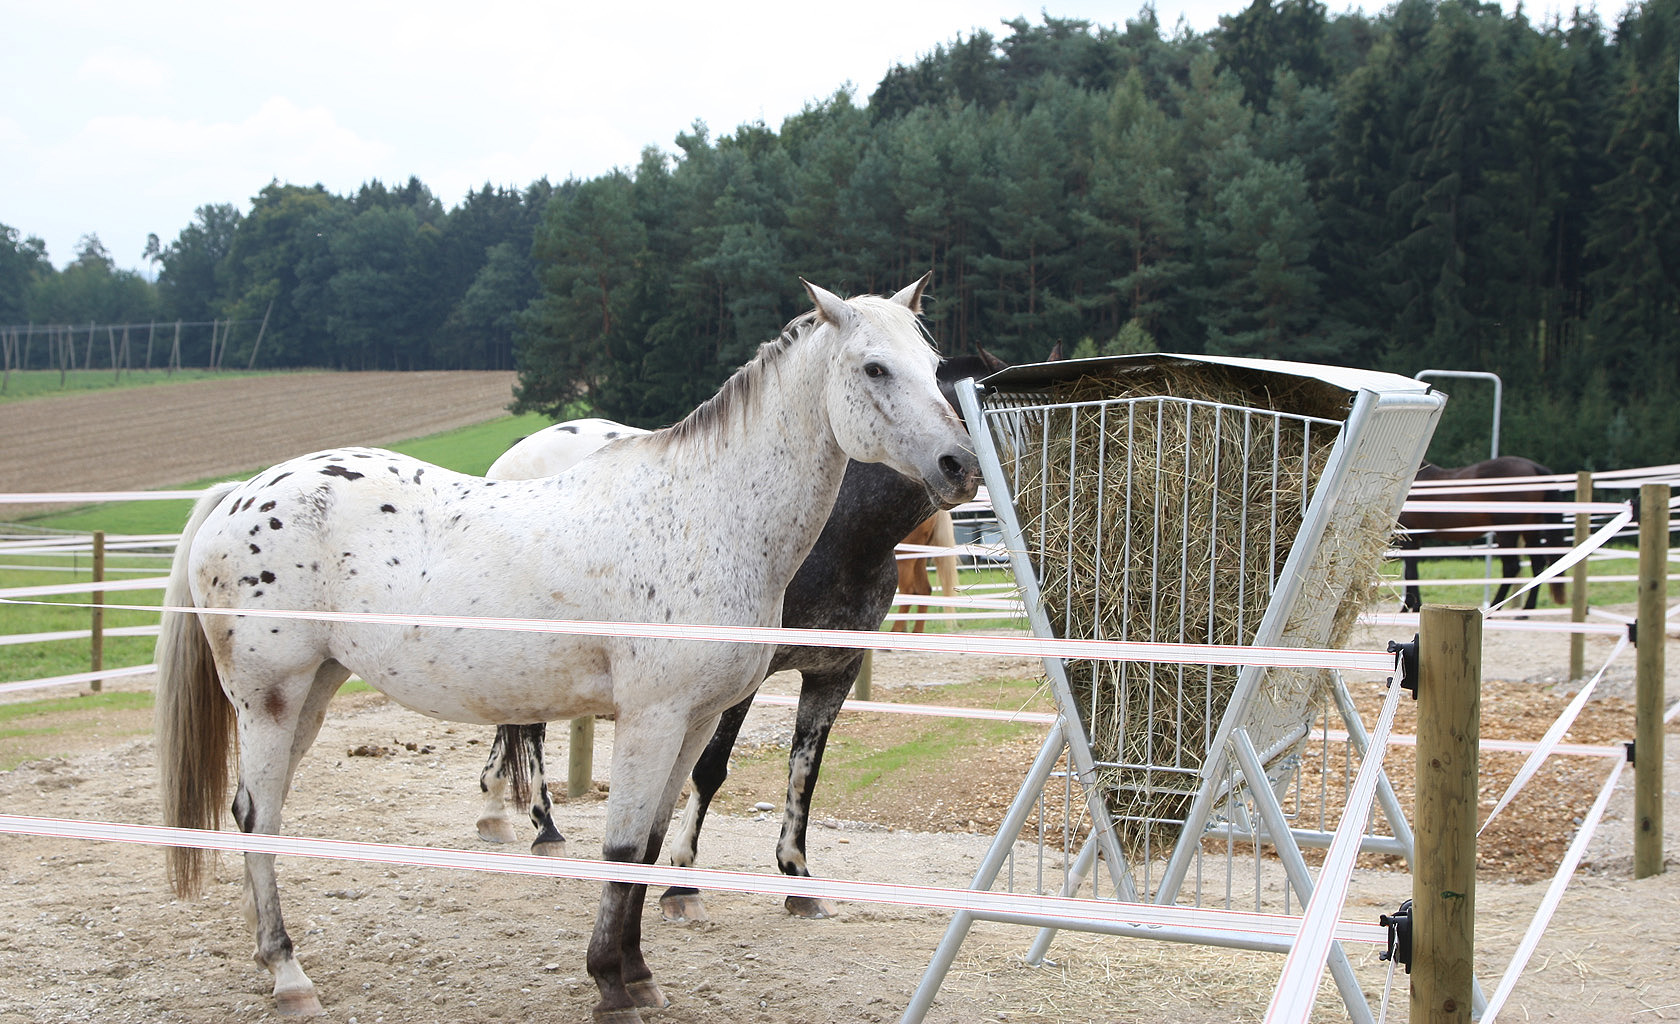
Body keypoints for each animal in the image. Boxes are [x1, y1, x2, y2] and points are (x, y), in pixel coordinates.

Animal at [474, 351, 1005, 925]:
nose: (965, 473)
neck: (840, 532)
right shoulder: (735, 680)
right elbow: (709, 770)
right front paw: (681, 884)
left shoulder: (833, 674)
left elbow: (804, 774)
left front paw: (798, 877)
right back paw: (544, 827)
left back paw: (496, 810)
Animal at [1396, 455, 1568, 613]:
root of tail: (1534, 467)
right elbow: (1410, 573)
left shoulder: (1410, 538)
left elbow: (1411, 573)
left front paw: (1411, 607)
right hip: (1530, 529)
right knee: (1537, 565)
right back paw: (1526, 610)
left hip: (1507, 533)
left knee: (1511, 568)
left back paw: (1495, 608)